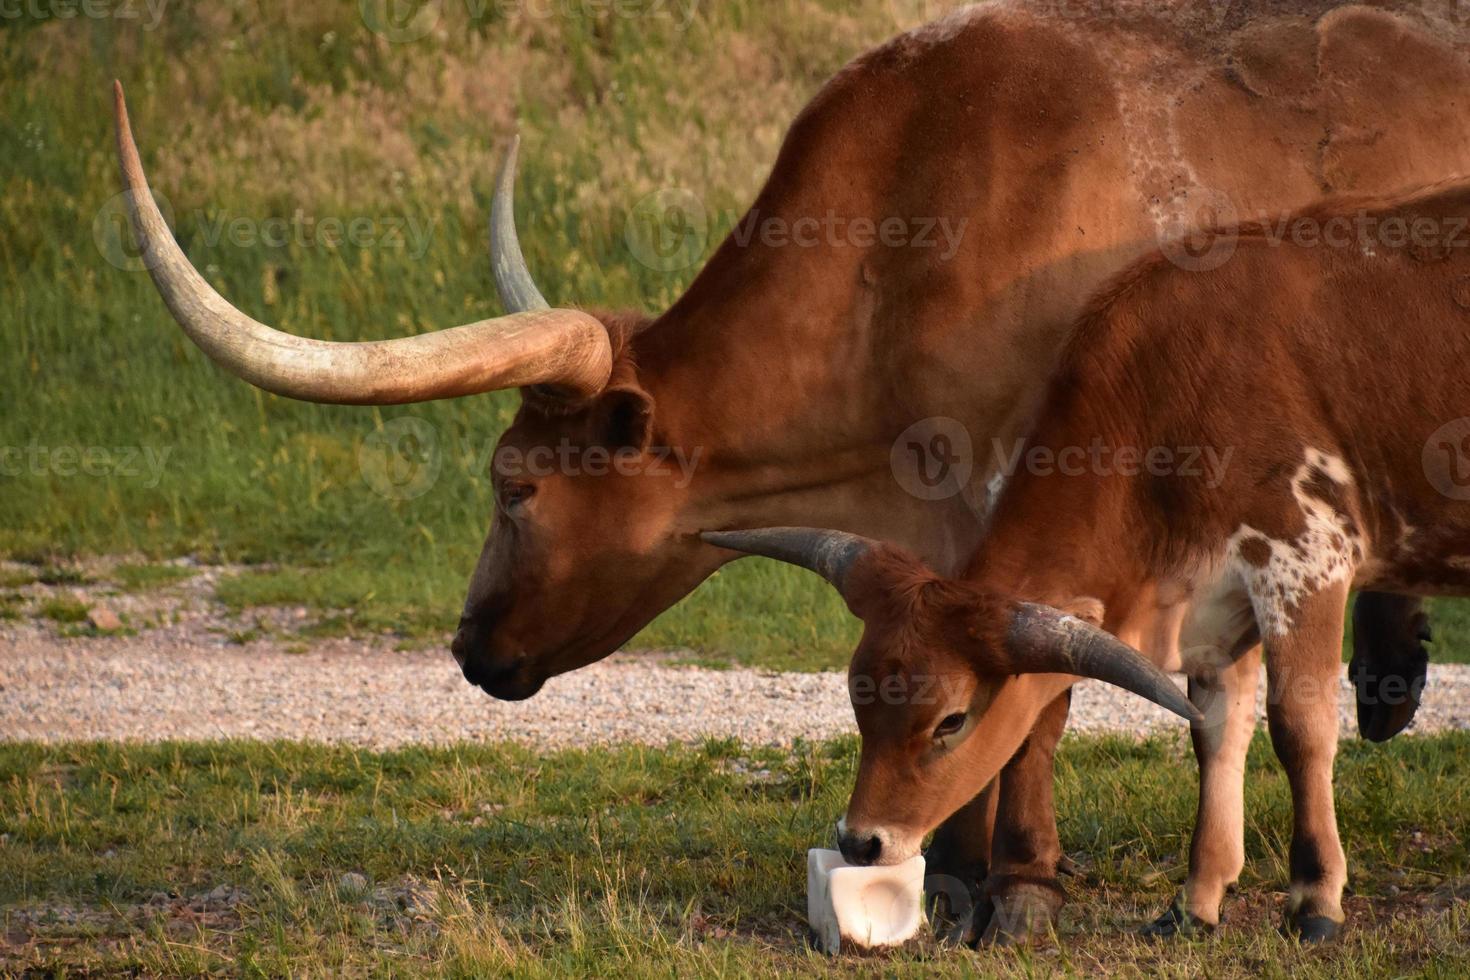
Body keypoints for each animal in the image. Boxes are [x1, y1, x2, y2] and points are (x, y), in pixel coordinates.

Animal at [699, 178, 1470, 940]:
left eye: (951, 720)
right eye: (858, 696)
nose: (862, 841)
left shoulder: (1302, 557)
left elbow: (1300, 728)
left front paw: (1315, 899)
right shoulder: (1219, 602)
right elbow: (1217, 736)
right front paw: (1197, 899)